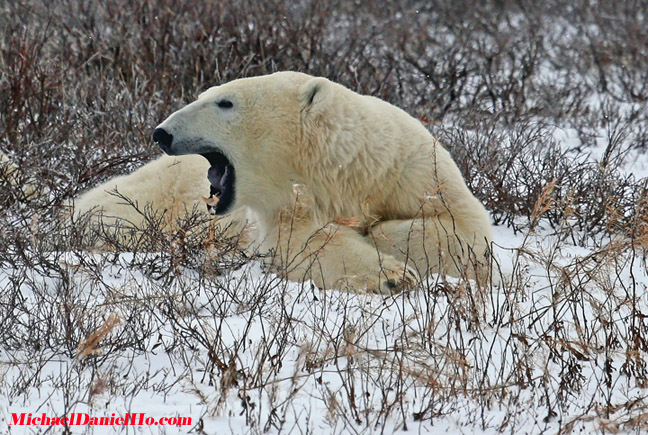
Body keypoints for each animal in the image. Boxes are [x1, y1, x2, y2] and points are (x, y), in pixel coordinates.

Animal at [76, 71, 492, 294]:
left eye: (224, 102)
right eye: (204, 95)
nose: (161, 133)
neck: (342, 172)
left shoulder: (412, 168)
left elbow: (462, 228)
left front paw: (381, 238)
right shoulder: (286, 207)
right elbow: (307, 245)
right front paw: (391, 274)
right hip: (153, 201)